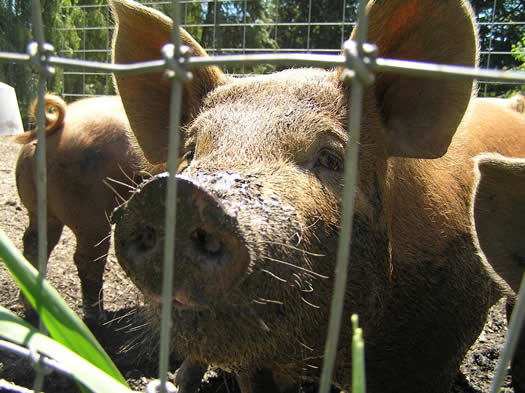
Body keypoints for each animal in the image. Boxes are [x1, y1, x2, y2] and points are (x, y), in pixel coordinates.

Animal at [14, 94, 145, 322]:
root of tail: (51, 126)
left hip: (40, 210)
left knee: (35, 242)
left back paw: (33, 309)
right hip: (89, 212)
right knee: (88, 259)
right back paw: (97, 317)